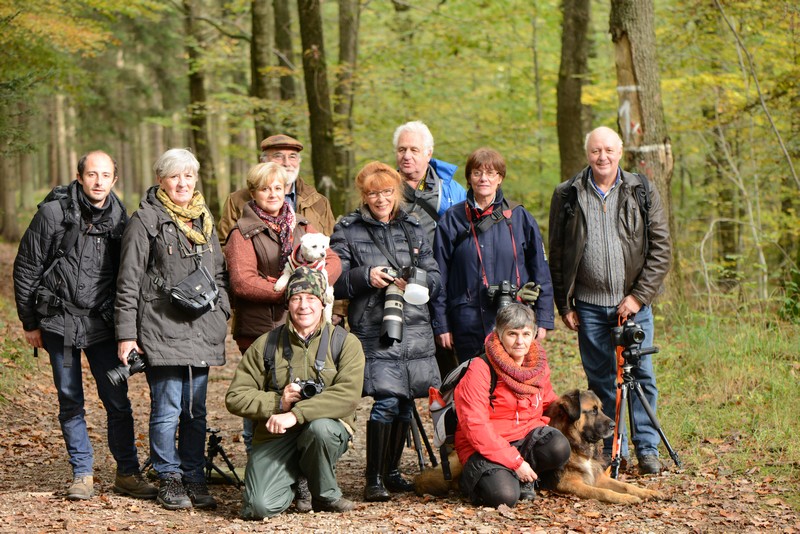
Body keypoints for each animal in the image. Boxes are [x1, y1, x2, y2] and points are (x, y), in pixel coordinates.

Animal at [416, 390, 664, 506]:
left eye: (601, 408)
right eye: (592, 411)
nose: (614, 425)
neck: (576, 443)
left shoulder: (598, 477)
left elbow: (626, 485)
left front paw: (648, 492)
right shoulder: (571, 484)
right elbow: (603, 492)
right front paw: (625, 499)